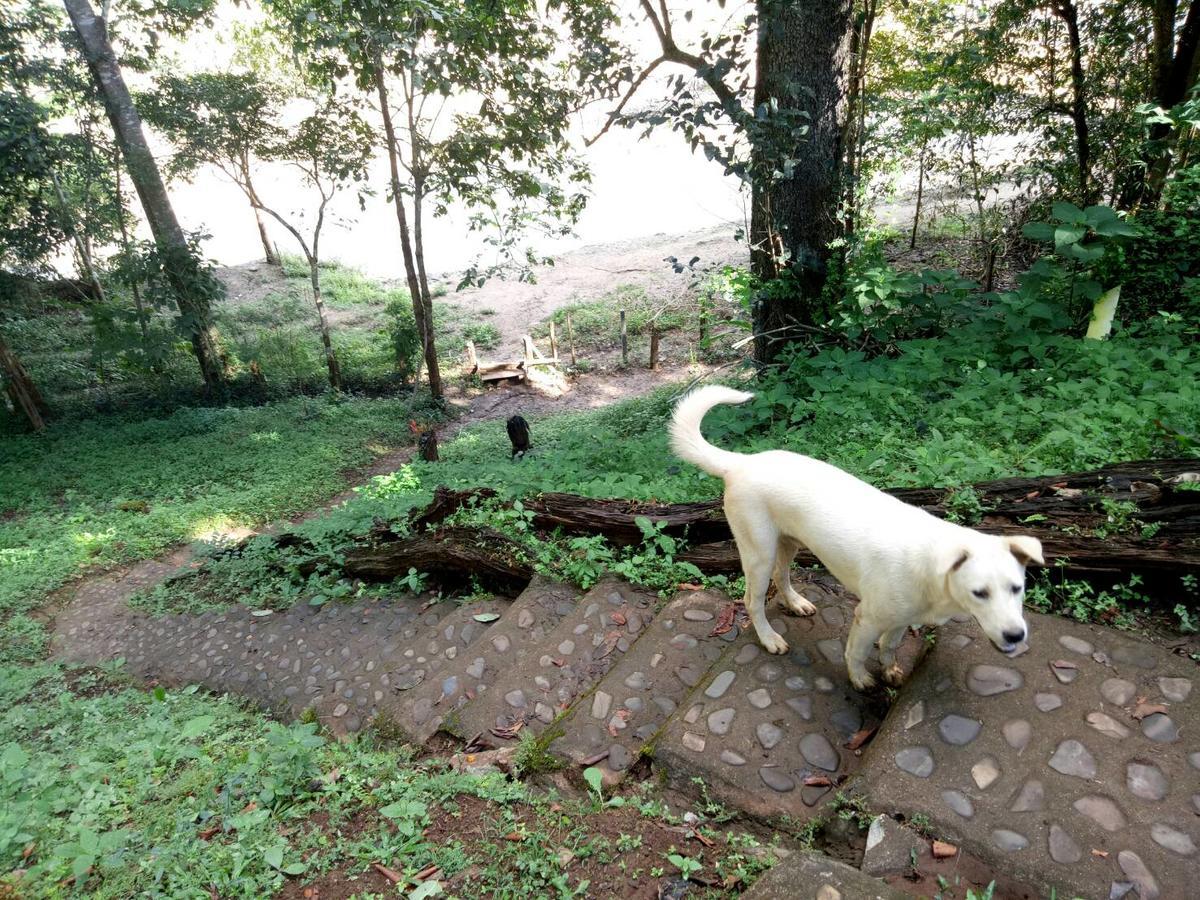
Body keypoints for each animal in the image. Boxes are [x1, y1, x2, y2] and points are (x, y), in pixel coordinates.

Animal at [672, 386, 1046, 691]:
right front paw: (861, 679)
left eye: (1017, 588)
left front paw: (891, 671)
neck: (930, 569)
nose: (1016, 636)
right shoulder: (866, 618)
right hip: (758, 552)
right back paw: (769, 638)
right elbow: (856, 652)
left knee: (782, 576)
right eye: (979, 593)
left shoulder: (900, 620)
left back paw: (796, 603)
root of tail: (742, 462)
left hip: (789, 542)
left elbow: (890, 646)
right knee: (753, 600)